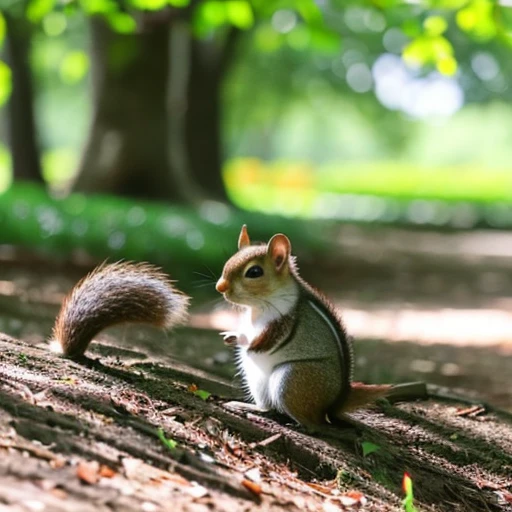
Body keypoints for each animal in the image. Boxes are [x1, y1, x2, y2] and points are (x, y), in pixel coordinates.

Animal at [215, 226, 424, 430]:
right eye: (229, 261)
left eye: (254, 272)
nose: (220, 287)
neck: (256, 308)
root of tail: (331, 405)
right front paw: (231, 335)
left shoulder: (282, 321)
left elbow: (261, 341)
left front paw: (241, 339)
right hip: (256, 378)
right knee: (267, 407)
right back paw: (247, 406)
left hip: (291, 378)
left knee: (315, 423)